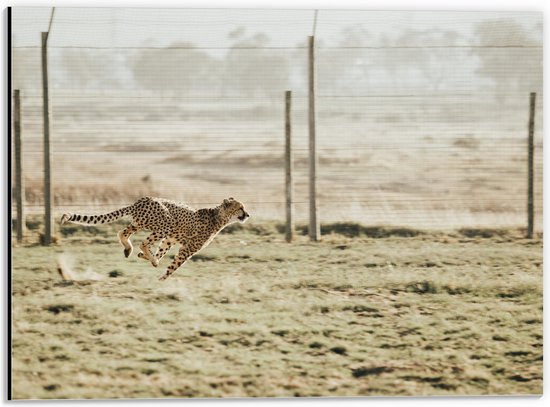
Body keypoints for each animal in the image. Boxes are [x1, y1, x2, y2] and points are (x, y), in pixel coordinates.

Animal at [59, 197, 250, 280]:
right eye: (240, 208)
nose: (247, 215)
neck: (218, 216)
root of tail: (140, 200)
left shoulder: (170, 239)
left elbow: (162, 251)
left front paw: (150, 259)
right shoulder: (187, 248)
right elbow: (174, 265)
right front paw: (162, 278)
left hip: (140, 223)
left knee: (123, 232)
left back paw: (130, 250)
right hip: (164, 223)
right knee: (143, 242)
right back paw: (144, 254)